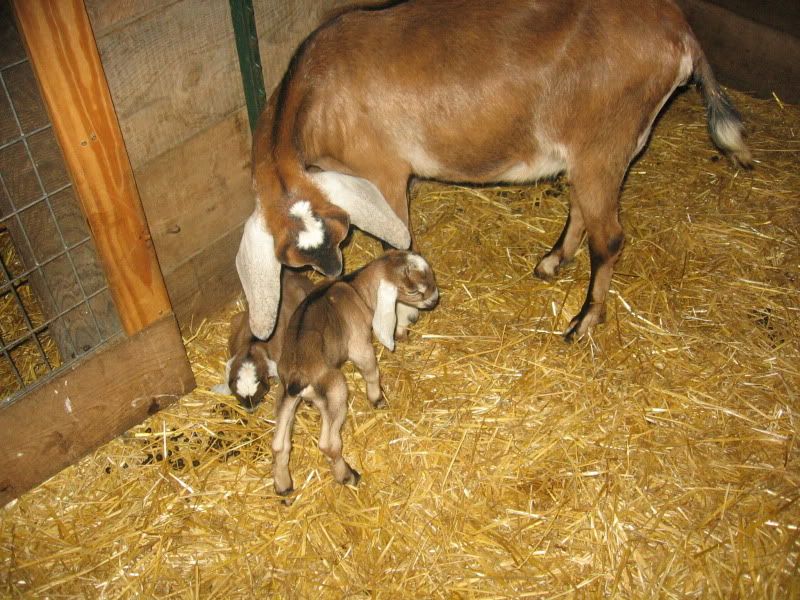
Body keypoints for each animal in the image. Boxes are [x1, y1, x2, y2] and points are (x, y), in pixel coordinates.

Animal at [237, 0, 751, 343]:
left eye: (338, 237)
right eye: (296, 261)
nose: (333, 271)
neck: (319, 87)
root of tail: (678, 28)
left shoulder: (385, 173)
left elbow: (394, 246)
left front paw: (401, 318)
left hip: (605, 143)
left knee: (609, 238)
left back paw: (583, 320)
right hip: (590, 151)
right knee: (583, 209)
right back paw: (552, 261)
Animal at [272, 250, 438, 495]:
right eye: (413, 290)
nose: (435, 299)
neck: (355, 288)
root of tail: (297, 377)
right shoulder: (359, 344)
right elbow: (371, 371)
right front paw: (378, 399)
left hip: (285, 396)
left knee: (279, 444)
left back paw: (284, 488)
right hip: (336, 392)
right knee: (328, 444)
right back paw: (348, 476)